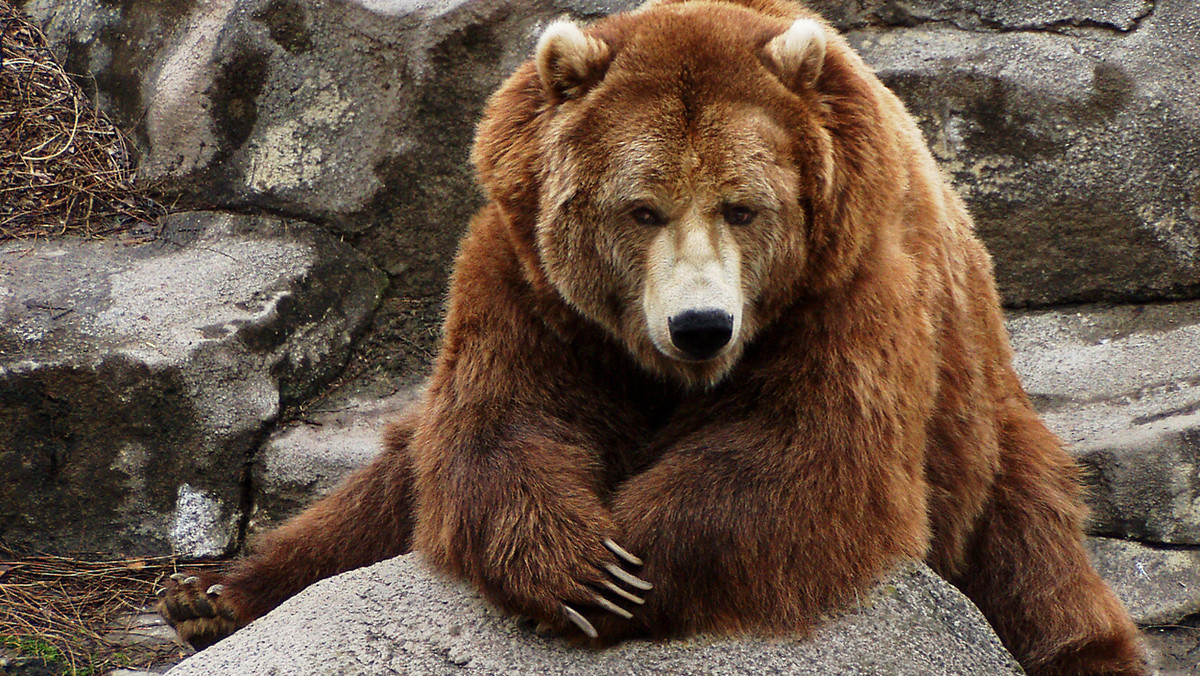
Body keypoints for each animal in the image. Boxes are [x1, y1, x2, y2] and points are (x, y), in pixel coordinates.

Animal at [157, 2, 1142, 672]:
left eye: (744, 206)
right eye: (641, 208)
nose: (701, 325)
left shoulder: (848, 286)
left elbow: (803, 455)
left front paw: (633, 568)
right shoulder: (531, 285)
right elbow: (499, 425)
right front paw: (582, 565)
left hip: (985, 439)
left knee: (1037, 574)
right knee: (388, 486)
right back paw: (212, 597)